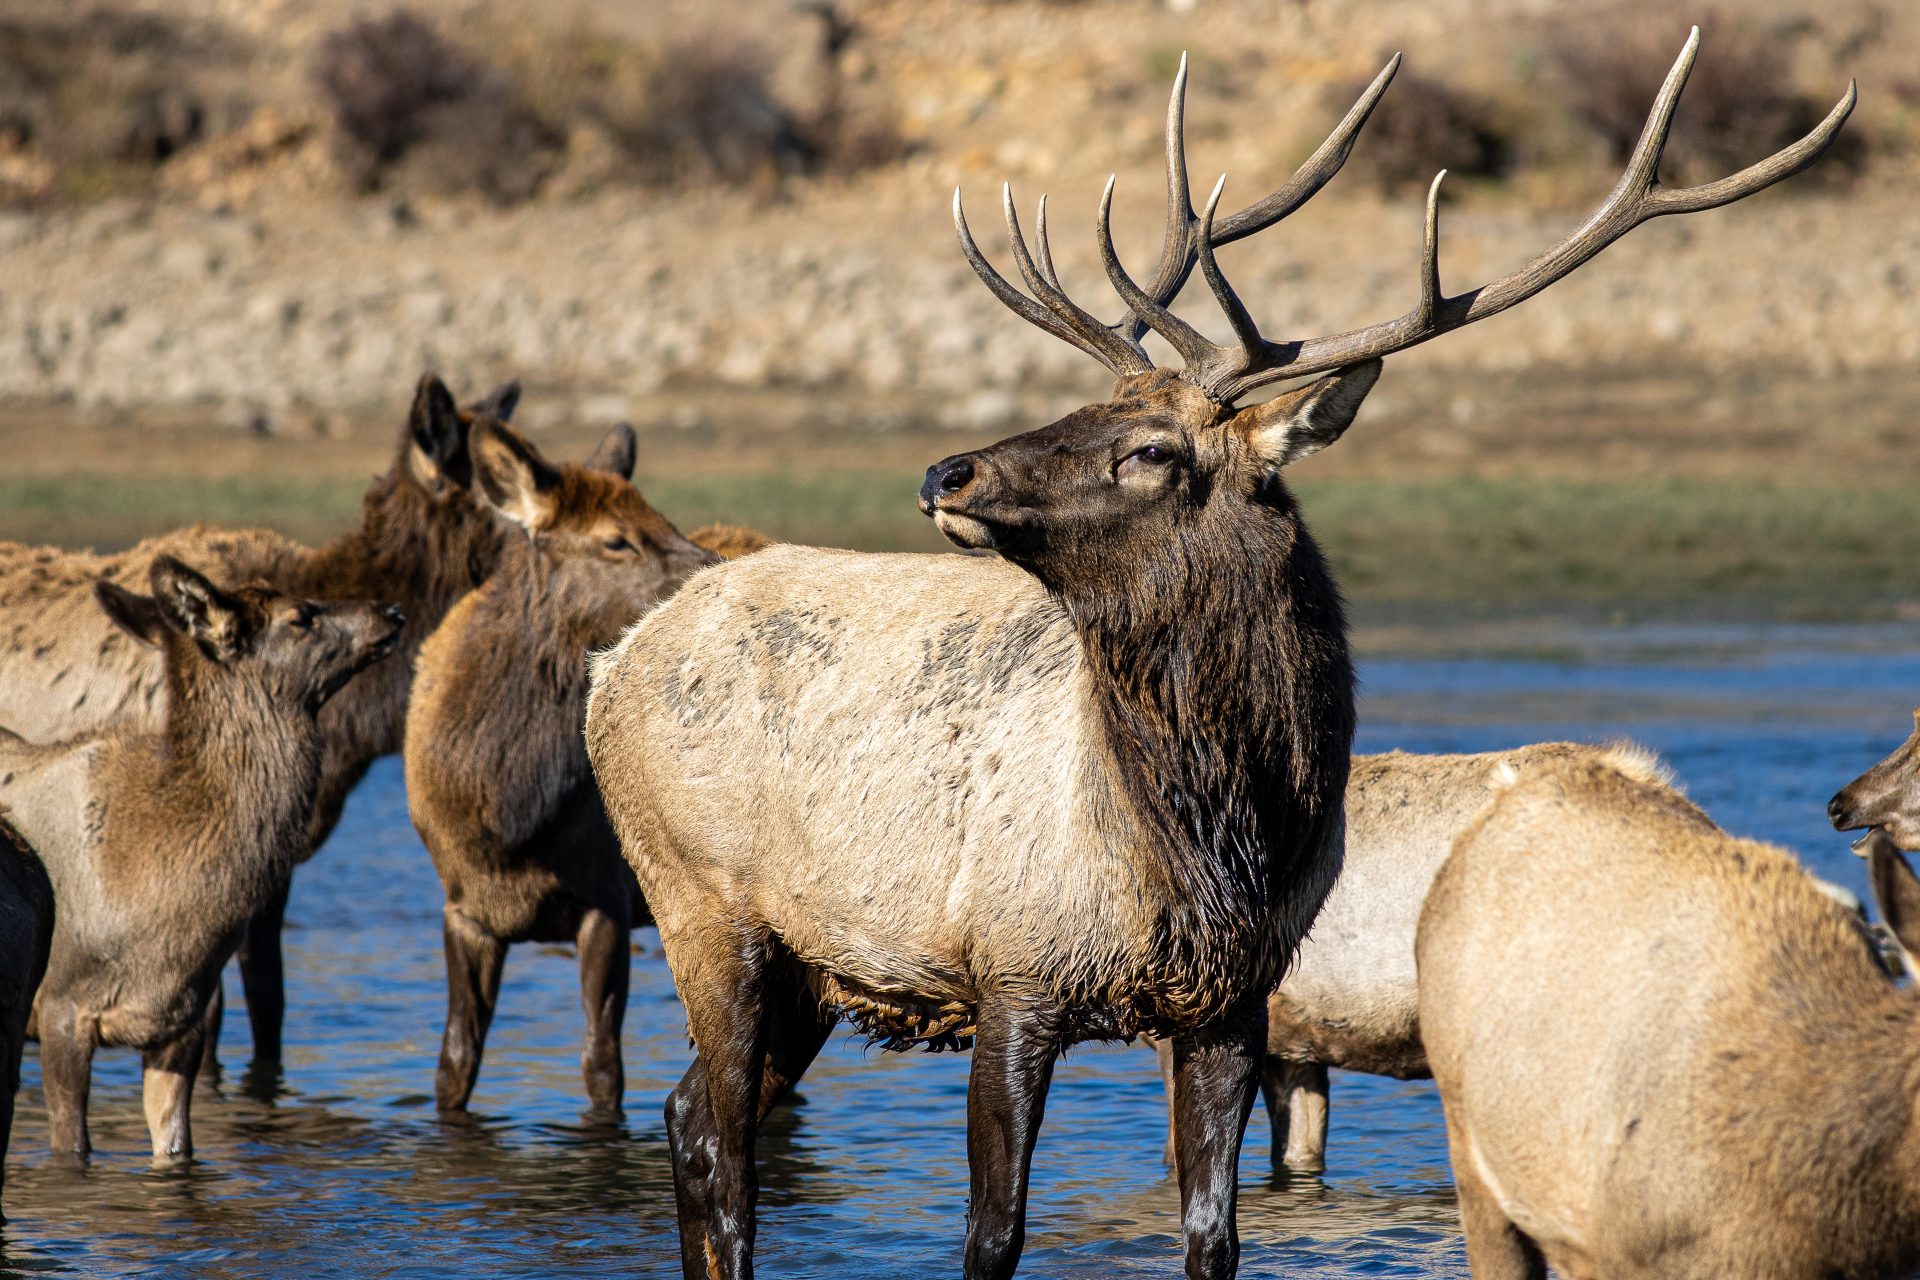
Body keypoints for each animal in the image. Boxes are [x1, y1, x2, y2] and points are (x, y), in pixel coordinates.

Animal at [2, 556, 401, 1166]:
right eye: (300, 616)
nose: (391, 610)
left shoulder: (181, 1022)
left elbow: (176, 1147)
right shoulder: (59, 1008)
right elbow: (72, 1147)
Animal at [579, 29, 1843, 1280]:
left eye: (1147, 446)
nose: (947, 471)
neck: (1208, 842)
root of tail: (616, 659)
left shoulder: (1233, 1003)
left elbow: (1216, 1234)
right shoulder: (1015, 967)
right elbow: (991, 1234)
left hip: (810, 962)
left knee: (692, 1115)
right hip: (699, 898)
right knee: (720, 1139)